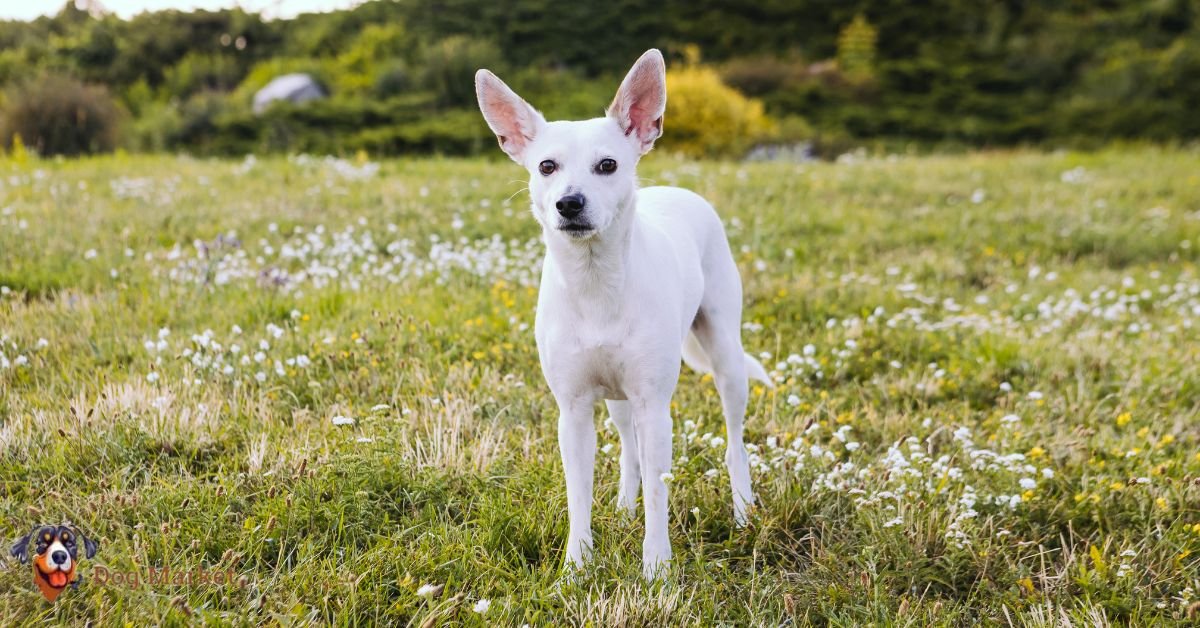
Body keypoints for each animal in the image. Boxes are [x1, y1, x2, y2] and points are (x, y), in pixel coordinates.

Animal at [475, 49, 768, 581]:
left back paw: (742, 512)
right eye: (546, 165)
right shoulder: (573, 411)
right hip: (616, 399)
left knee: (734, 442)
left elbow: (659, 493)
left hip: (727, 360)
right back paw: (624, 507)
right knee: (629, 451)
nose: (569, 202)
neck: (595, 282)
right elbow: (580, 494)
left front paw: (656, 569)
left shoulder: (655, 406)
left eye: (607, 165)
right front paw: (576, 567)